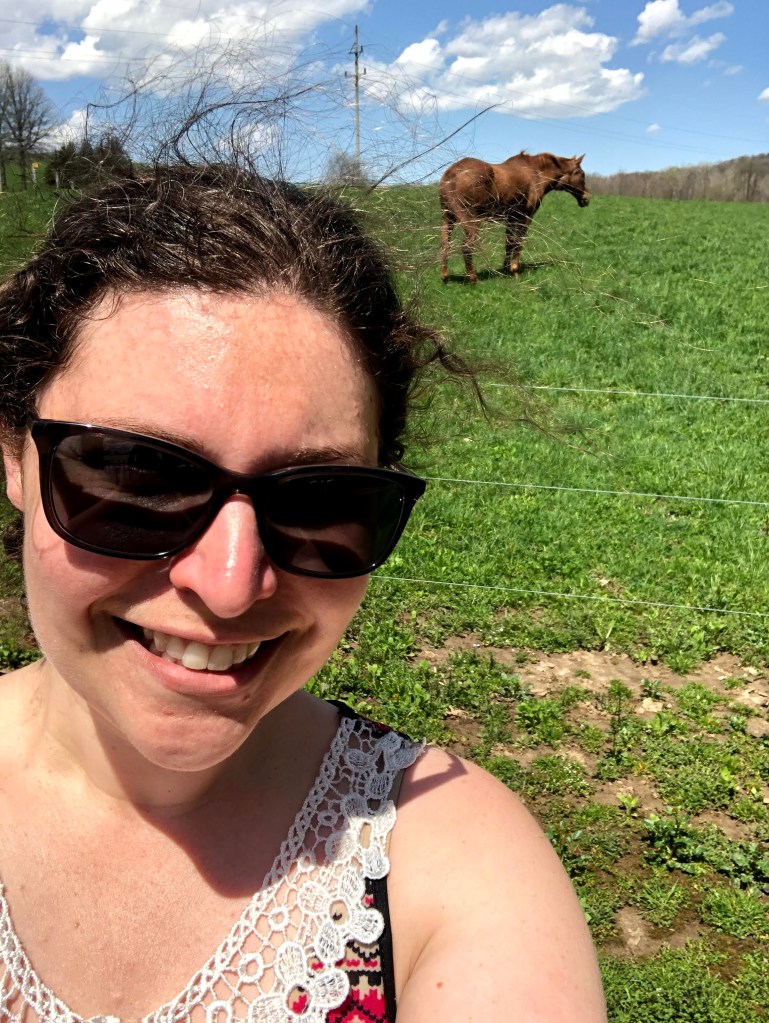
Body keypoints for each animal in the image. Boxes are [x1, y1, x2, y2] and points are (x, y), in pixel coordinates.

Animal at [439, 151, 589, 283]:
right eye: (581, 174)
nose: (587, 198)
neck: (538, 174)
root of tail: (451, 174)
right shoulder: (525, 216)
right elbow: (518, 242)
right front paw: (514, 271)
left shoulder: (511, 217)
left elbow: (509, 242)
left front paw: (506, 269)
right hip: (471, 220)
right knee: (466, 247)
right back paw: (474, 279)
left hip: (448, 218)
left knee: (445, 244)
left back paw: (445, 277)